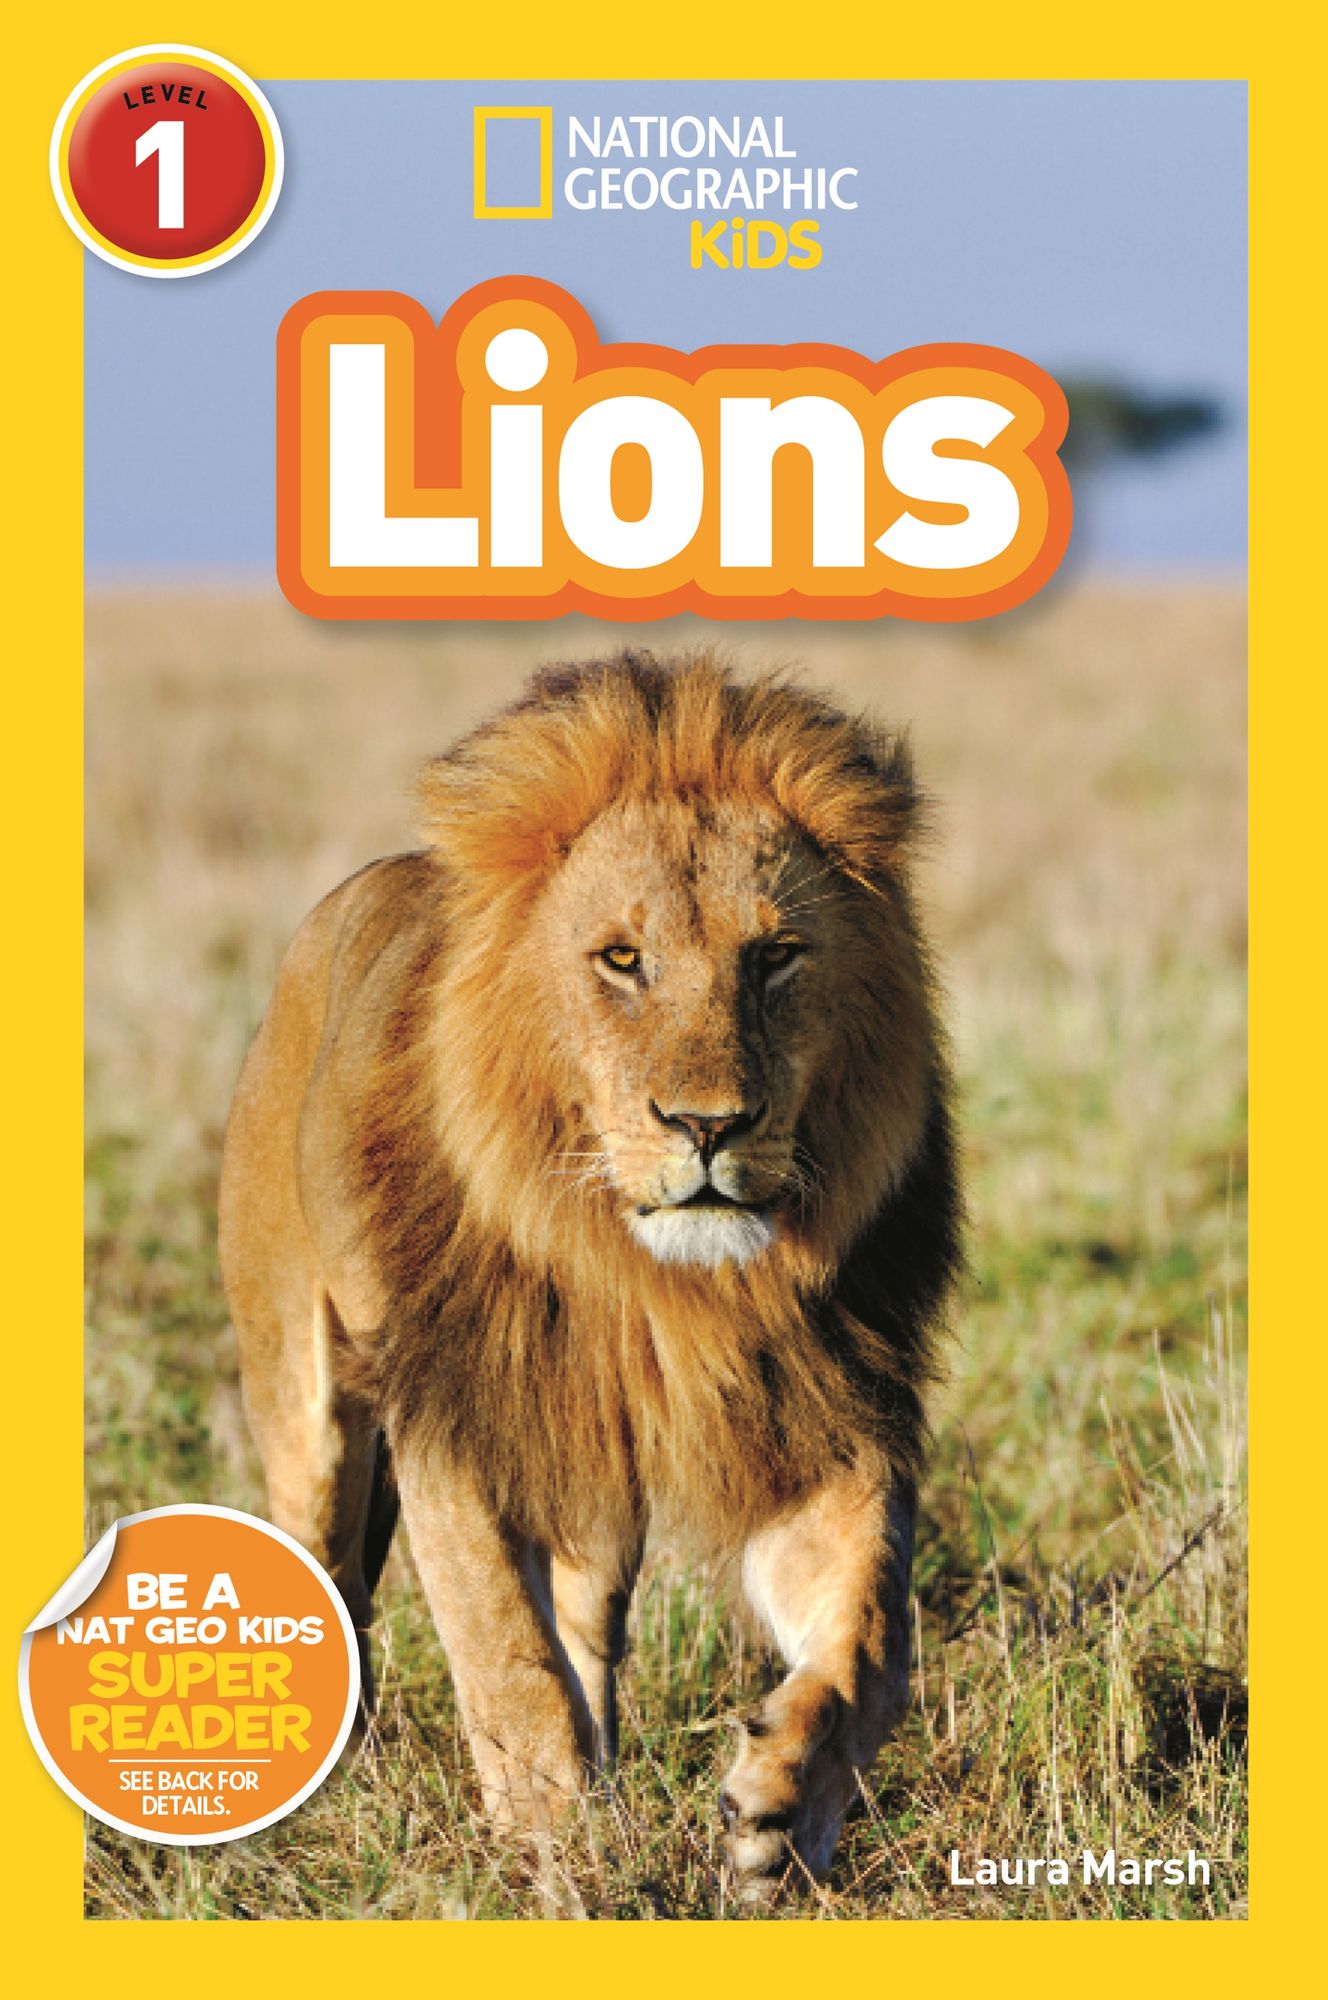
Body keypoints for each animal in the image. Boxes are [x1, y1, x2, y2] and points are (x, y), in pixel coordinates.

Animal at [218, 651, 959, 1901]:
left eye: (774, 956)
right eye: (621, 958)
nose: (707, 1125)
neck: (653, 1282)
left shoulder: (820, 1418)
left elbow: (870, 1640)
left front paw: (779, 1813)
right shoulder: (458, 1419)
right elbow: (505, 1658)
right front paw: (558, 1854)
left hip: (595, 1490)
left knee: (584, 1626)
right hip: (304, 1398)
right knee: (326, 1556)